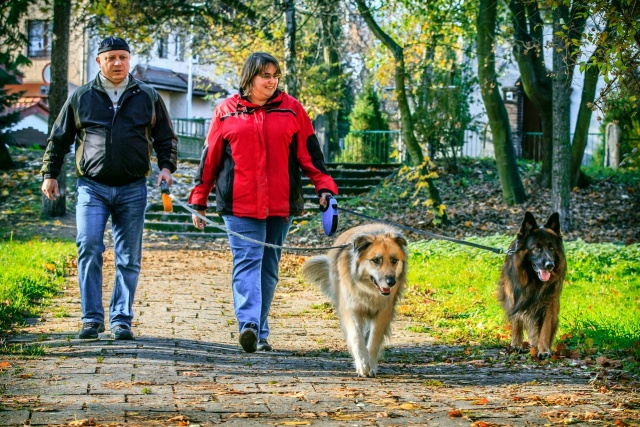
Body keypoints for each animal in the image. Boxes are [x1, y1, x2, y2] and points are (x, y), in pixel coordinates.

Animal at [302, 224, 408, 378]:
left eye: (394, 260)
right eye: (376, 260)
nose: (391, 282)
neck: (369, 290)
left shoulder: (383, 312)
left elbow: (374, 339)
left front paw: (371, 365)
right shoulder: (351, 309)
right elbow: (356, 337)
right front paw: (362, 364)